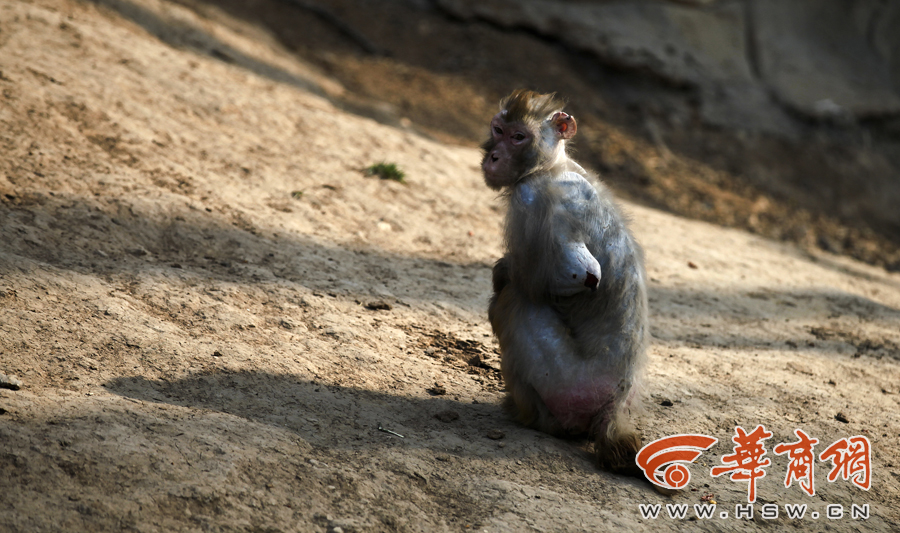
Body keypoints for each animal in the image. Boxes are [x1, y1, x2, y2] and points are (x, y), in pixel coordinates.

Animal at [486, 88, 648, 474]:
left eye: (519, 137)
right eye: (498, 129)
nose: (493, 156)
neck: (552, 165)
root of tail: (614, 408)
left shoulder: (534, 199)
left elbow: (579, 274)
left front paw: (503, 271)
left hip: (566, 384)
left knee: (514, 303)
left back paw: (529, 416)